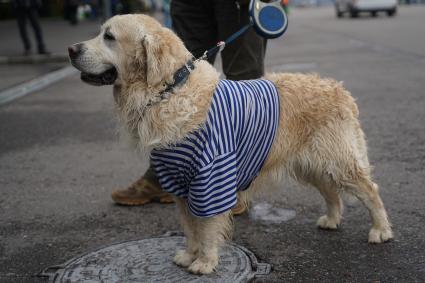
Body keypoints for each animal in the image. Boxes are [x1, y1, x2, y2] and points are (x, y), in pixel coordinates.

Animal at [68, 15, 390, 276]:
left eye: (109, 36)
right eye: (100, 33)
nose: (72, 49)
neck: (169, 90)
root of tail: (338, 88)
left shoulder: (210, 177)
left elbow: (207, 226)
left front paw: (205, 262)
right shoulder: (178, 183)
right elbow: (190, 227)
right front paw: (190, 255)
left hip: (339, 162)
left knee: (371, 191)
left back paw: (381, 230)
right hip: (311, 165)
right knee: (331, 193)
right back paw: (332, 219)